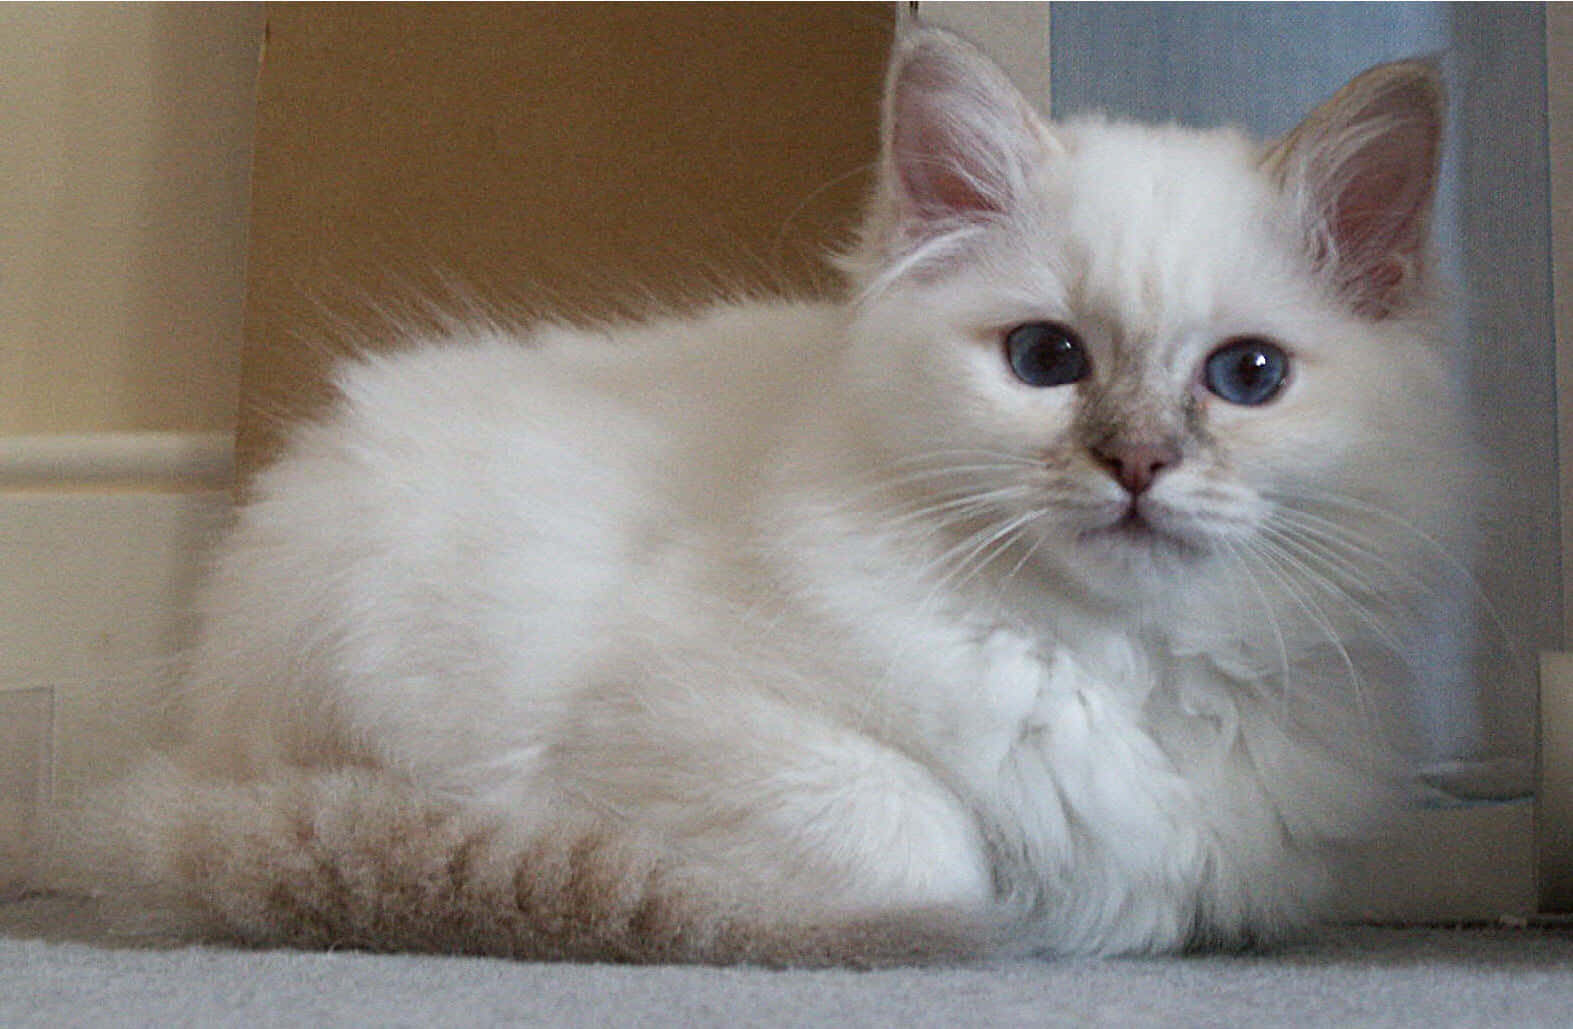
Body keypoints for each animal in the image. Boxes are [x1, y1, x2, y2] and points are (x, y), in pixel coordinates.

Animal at [52, 30, 1472, 969]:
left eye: (1247, 378)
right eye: (1045, 359)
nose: (1135, 465)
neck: (1111, 662)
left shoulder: (1235, 867)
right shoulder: (686, 725)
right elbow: (925, 840)